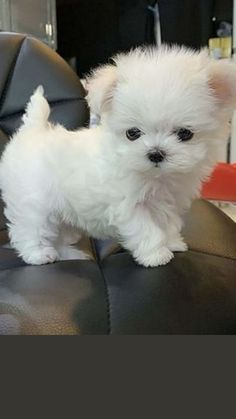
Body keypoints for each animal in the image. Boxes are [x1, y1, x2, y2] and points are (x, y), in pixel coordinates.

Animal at [0, 46, 236, 270]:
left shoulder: (169, 202)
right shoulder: (129, 206)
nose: (156, 153)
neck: (156, 177)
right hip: (34, 201)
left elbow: (167, 223)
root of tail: (33, 130)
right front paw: (156, 254)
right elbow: (147, 229)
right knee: (31, 228)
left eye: (185, 134)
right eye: (132, 133)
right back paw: (38, 254)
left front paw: (172, 242)